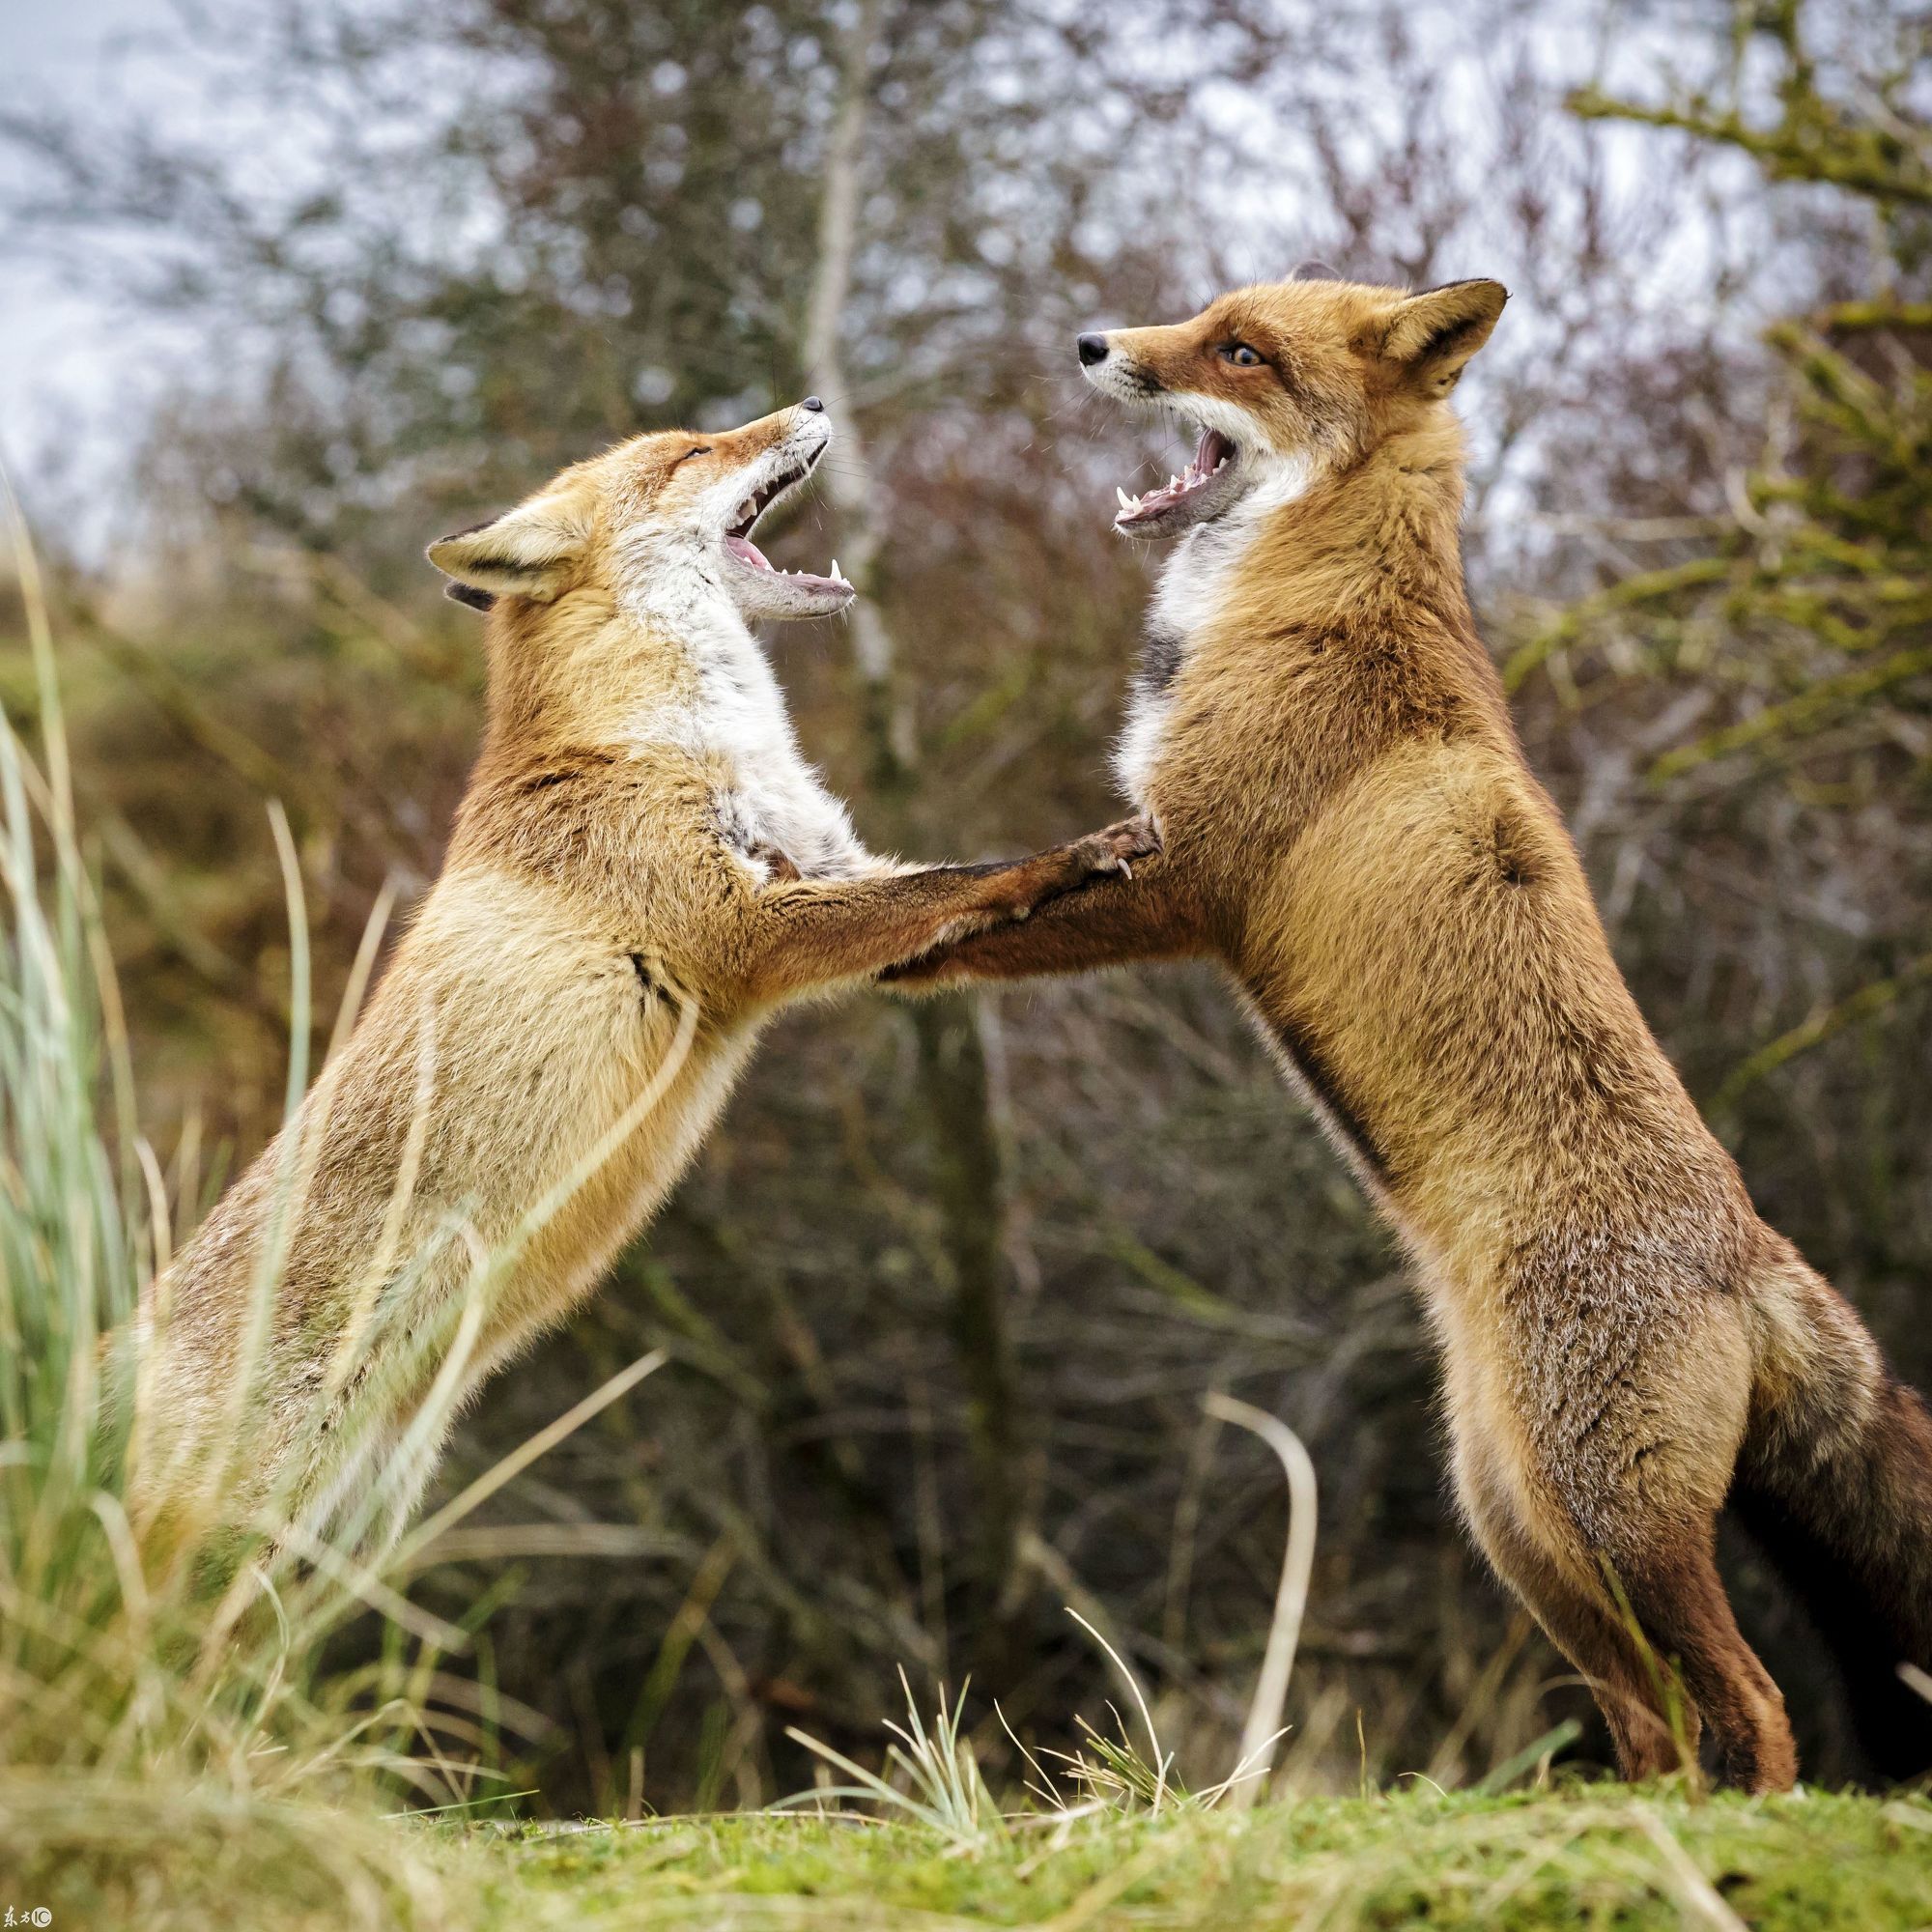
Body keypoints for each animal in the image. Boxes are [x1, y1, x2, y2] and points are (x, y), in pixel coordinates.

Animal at [140, 400, 1159, 1546]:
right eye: (692, 453)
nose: (813, 404)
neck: (671, 737)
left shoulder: (833, 880)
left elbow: (949, 897)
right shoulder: (743, 929)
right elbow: (974, 874)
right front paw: (1079, 852)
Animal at [896, 276, 1932, 1793]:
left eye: (1239, 351)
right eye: (1201, 313)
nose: (1092, 345)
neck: (1297, 594)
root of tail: (1750, 1251)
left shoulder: (1189, 874)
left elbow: (970, 909)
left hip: (1599, 1525)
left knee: (1752, 1702)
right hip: (1524, 1535)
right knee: (1653, 1714)